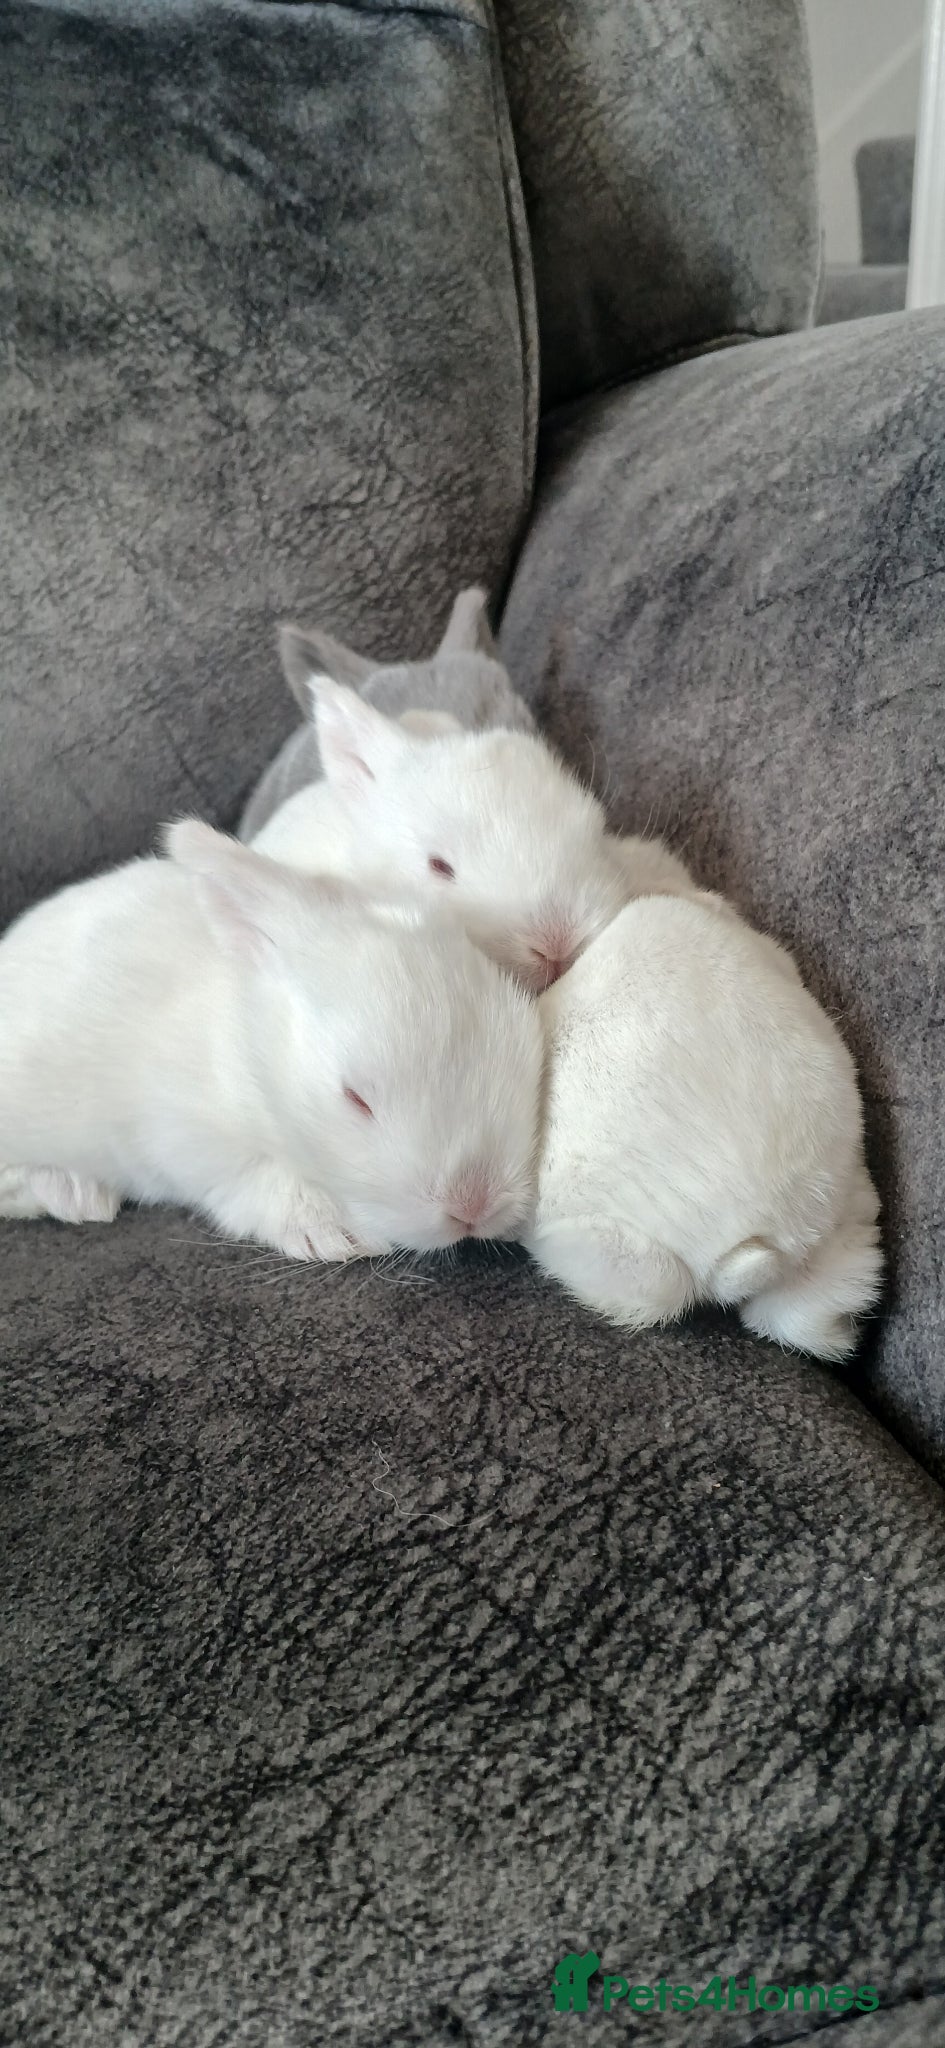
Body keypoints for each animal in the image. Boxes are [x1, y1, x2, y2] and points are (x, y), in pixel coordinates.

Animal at [0, 823, 543, 1261]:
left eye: (515, 1035)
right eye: (356, 1099)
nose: (472, 1205)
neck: (249, 1054)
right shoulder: (185, 1140)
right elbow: (258, 1182)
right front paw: (335, 1235)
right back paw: (75, 1193)